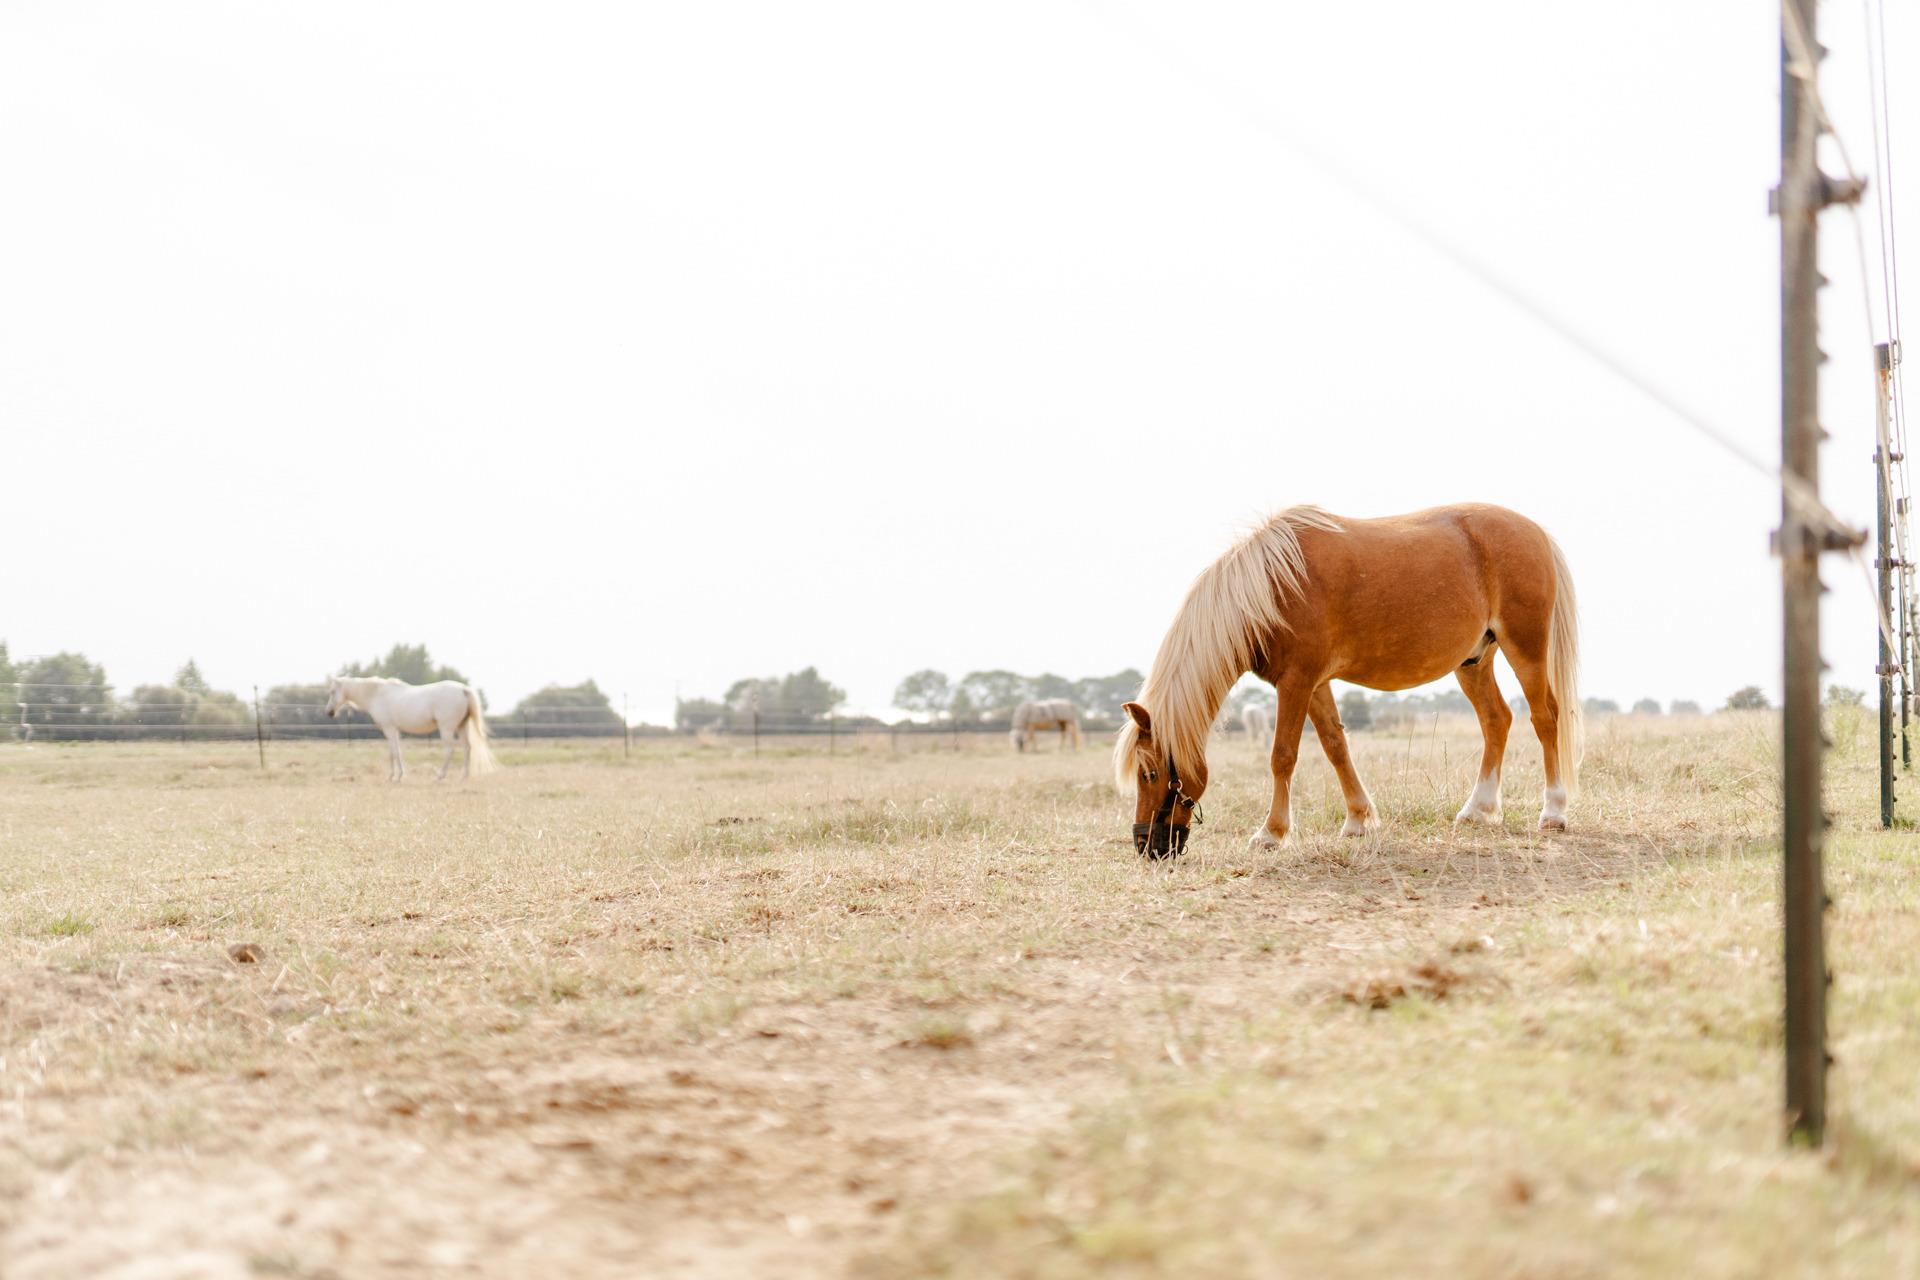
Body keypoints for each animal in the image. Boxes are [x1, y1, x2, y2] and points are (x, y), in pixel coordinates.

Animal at [325, 677, 497, 781]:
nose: (329, 712)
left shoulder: (389, 729)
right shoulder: (393, 730)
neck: (376, 694)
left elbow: (395, 752)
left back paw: (440, 776)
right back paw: (464, 777)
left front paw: (396, 777)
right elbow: (394, 752)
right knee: (468, 748)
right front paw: (394, 776)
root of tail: (463, 689)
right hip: (462, 726)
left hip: (446, 728)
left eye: (333, 692)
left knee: (449, 750)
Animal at [1114, 504, 1579, 859]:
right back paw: (1477, 809)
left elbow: (1282, 755)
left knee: (1544, 718)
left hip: (1526, 649)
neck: (1271, 588)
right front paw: (1358, 820)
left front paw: (1271, 833)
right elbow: (1336, 747)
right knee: (1496, 720)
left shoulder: (1296, 682)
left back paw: (1553, 812)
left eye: (1150, 773)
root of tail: (1535, 532)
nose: (1146, 846)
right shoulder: (1315, 684)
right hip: (1474, 661)